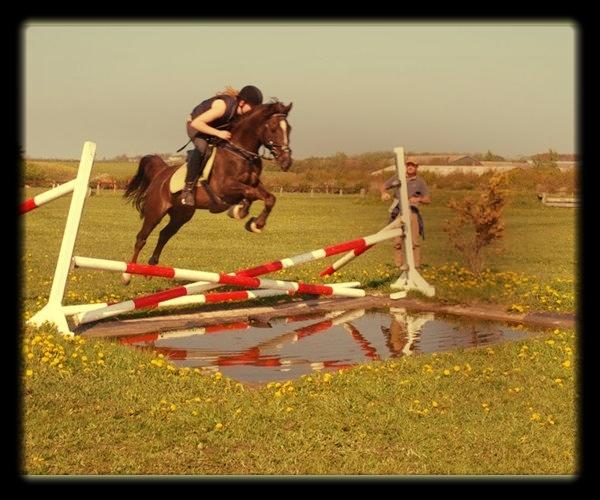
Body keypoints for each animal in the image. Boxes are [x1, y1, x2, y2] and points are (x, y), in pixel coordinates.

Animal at [120, 100, 292, 286]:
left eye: (289, 129)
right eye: (273, 129)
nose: (286, 162)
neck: (240, 153)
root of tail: (161, 172)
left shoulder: (254, 184)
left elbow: (268, 198)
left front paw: (253, 222)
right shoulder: (224, 189)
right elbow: (250, 193)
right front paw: (242, 213)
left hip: (181, 215)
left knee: (164, 234)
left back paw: (151, 269)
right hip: (155, 211)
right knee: (141, 238)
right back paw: (128, 275)